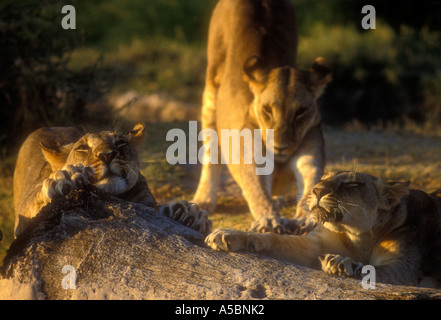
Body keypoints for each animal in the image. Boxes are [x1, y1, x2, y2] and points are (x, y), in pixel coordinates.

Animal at [13, 122, 211, 238]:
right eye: (83, 148)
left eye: (121, 143)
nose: (107, 155)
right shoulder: (23, 222)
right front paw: (65, 178)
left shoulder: (147, 203)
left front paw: (190, 215)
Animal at [192, 0, 330, 234]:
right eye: (267, 109)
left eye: (300, 111)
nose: (281, 146)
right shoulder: (252, 161)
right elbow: (257, 193)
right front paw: (269, 220)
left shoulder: (310, 161)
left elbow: (311, 189)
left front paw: (306, 219)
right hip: (211, 86)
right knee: (211, 154)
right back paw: (203, 199)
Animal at [206, 171, 441, 288]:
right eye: (322, 179)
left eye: (352, 184)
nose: (316, 190)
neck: (360, 235)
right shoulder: (312, 244)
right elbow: (273, 239)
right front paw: (228, 235)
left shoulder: (402, 270)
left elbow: (371, 269)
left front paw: (341, 262)